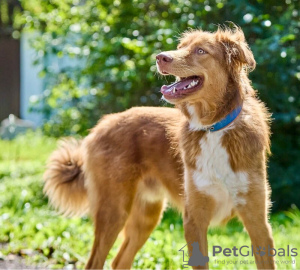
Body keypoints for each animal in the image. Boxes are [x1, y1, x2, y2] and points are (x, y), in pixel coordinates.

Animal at [157, 26, 276, 268]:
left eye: (201, 50)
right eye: (180, 47)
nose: (159, 57)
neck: (213, 128)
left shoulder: (257, 219)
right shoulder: (194, 218)